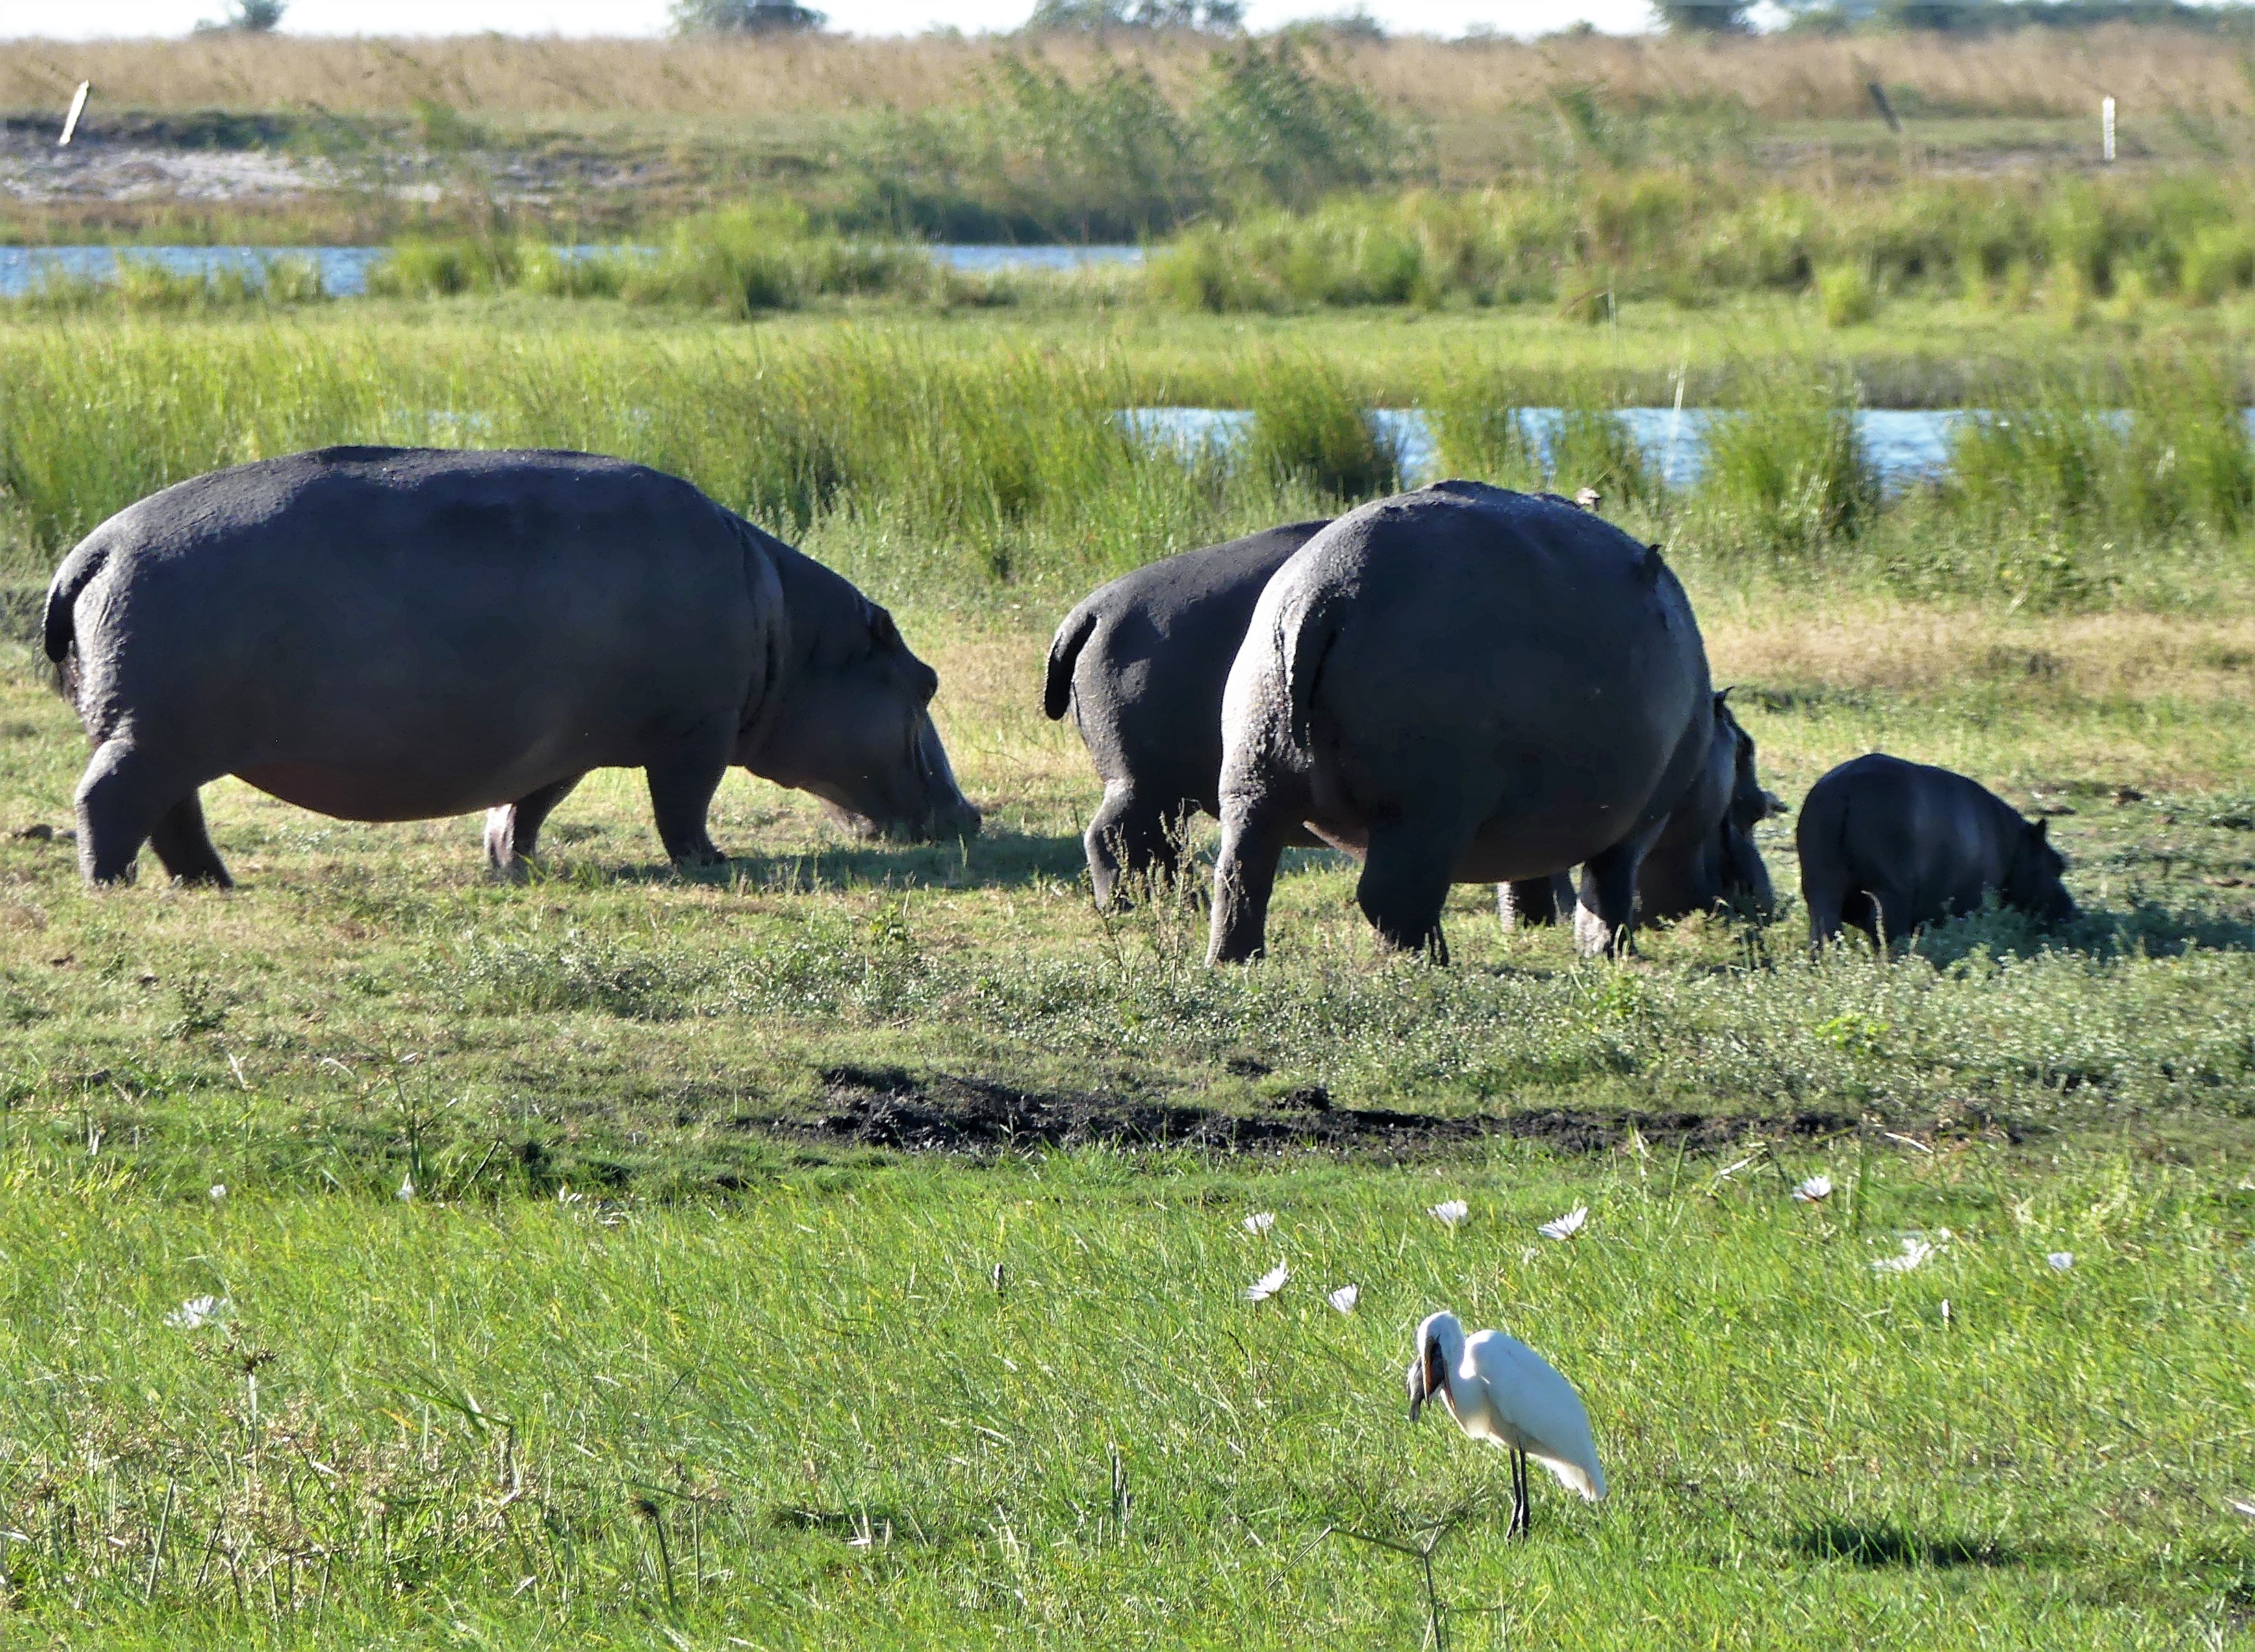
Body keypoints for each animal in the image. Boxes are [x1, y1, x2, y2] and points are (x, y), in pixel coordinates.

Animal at [42, 446, 979, 887]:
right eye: (924, 680)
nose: (970, 816)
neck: (795, 637)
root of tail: (90, 548)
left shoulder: (561, 742)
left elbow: (527, 805)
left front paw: (509, 862)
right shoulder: (696, 733)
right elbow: (683, 806)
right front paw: (713, 863)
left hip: (167, 736)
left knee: (173, 813)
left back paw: (214, 883)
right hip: (157, 733)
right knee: (110, 799)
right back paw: (114, 884)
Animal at [1047, 519, 1779, 929]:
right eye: (1751, 798)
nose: (1768, 904)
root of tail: (1087, 609)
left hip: (1175, 787)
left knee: (1168, 853)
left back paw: (1179, 909)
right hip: (1150, 783)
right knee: (1114, 840)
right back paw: (1139, 909)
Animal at [1207, 481, 1733, 964]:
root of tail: (1320, 596)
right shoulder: (1642, 816)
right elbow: (1610, 887)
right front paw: (1612, 955)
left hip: (1253, 776)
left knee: (1240, 875)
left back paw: (1236, 961)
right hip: (1427, 805)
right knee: (1388, 894)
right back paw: (1426, 963)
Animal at [1797, 753, 2075, 946]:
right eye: (2059, 864)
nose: (2074, 911)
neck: (2016, 848)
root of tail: (1845, 790)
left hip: (1821, 886)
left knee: (1823, 932)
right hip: (1889, 890)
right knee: (1886, 933)